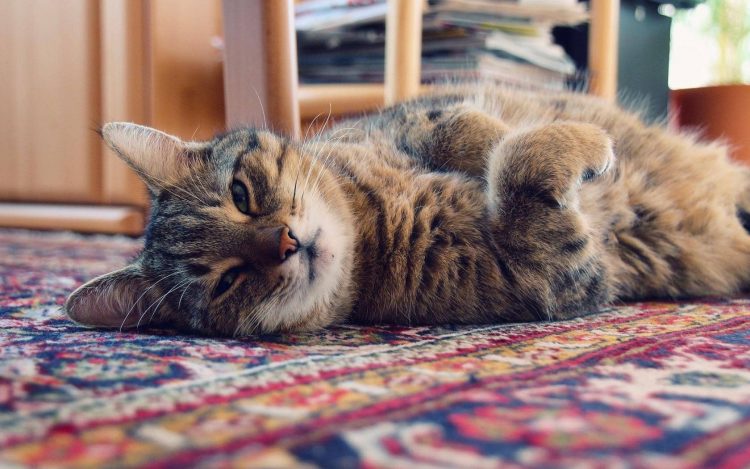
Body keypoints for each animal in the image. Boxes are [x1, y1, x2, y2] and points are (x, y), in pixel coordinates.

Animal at [66, 82, 750, 334]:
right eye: (226, 283)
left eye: (241, 193)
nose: (287, 243)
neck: (372, 223)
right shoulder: (557, 273)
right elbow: (521, 172)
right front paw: (571, 146)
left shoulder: (417, 117)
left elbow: (471, 130)